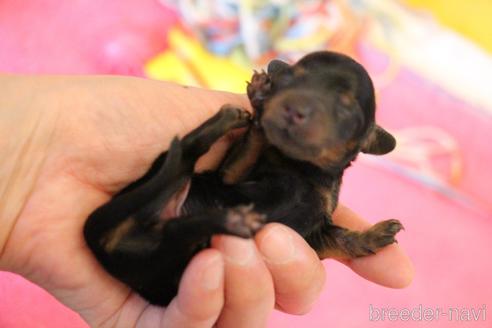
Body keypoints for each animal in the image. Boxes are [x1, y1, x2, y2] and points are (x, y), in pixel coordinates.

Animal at [82, 50, 402, 304]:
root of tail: (100, 244)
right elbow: (248, 148)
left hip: (164, 253)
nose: (293, 108)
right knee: (187, 156)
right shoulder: (229, 177)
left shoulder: (313, 236)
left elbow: (341, 239)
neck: (298, 166)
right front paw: (259, 99)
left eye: (345, 107)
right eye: (289, 80)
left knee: (179, 221)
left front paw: (374, 236)